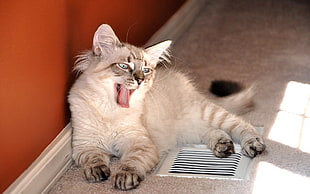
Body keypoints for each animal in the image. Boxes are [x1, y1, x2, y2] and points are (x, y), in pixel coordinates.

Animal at [68, 23, 266, 190]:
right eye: (124, 66)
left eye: (146, 70)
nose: (140, 80)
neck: (111, 111)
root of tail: (193, 90)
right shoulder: (85, 145)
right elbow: (94, 159)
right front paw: (97, 172)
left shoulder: (140, 144)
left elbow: (131, 162)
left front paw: (124, 177)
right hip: (189, 129)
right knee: (210, 131)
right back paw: (223, 145)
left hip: (209, 114)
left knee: (242, 125)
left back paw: (253, 145)